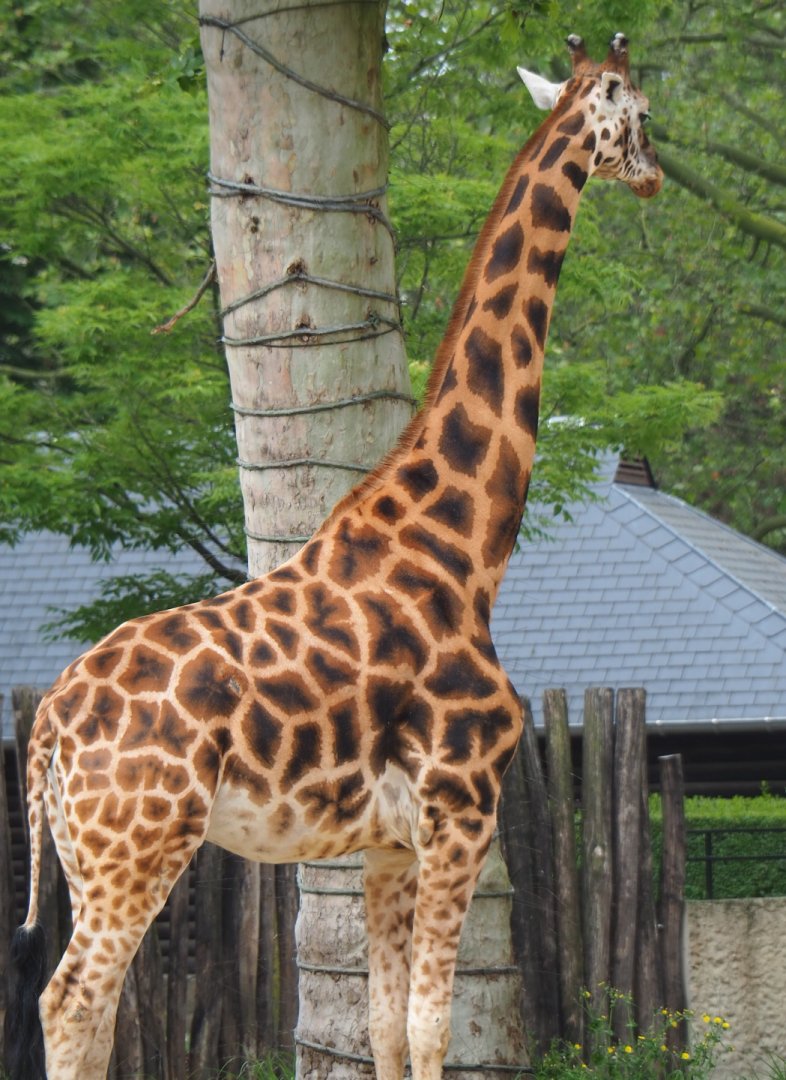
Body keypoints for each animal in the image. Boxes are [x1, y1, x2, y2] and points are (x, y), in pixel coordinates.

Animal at [6, 33, 661, 1080]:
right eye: (638, 115)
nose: (653, 174)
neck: (466, 549)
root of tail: (49, 731)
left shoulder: (387, 842)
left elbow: (387, 1028)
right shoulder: (459, 809)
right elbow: (432, 1027)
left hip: (85, 850)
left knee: (88, 1007)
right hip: (139, 844)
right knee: (70, 1001)